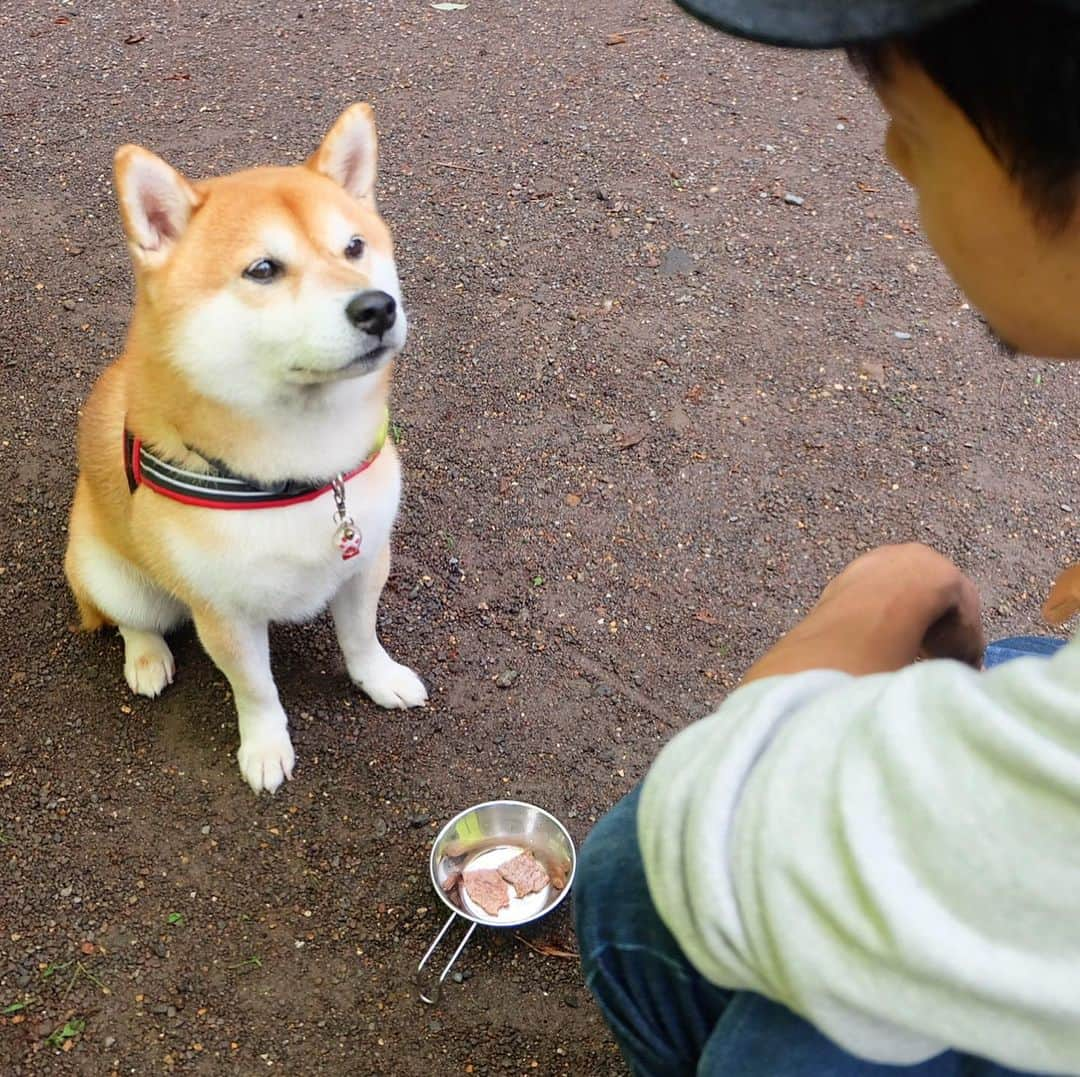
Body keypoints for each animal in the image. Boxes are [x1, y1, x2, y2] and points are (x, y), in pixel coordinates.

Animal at [64, 103, 429, 790]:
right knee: (133, 620)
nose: (377, 307)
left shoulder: (365, 560)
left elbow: (362, 637)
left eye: (354, 247)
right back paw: (146, 658)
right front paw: (264, 747)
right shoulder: (225, 613)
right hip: (110, 574)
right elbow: (256, 689)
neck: (303, 465)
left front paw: (379, 679)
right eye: (263, 269)